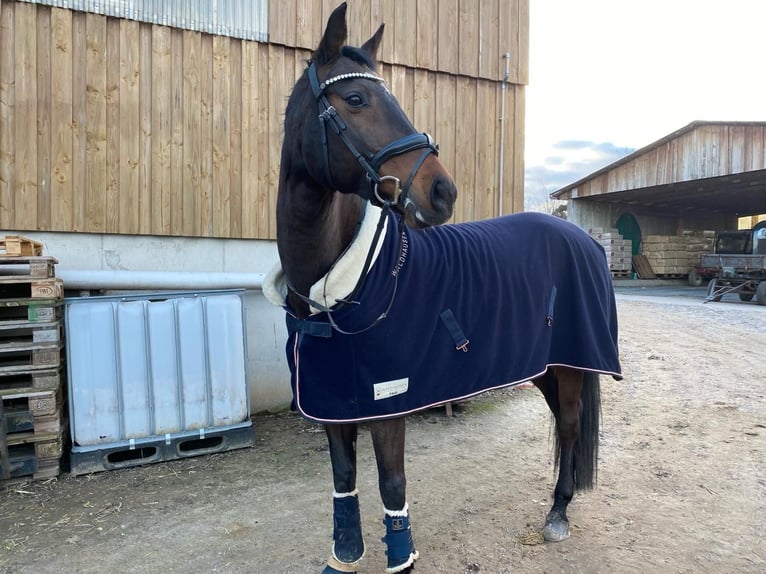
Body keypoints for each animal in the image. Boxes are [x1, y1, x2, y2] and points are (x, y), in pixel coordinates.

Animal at [263, 4, 622, 572]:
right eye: (356, 98)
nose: (442, 190)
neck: (334, 290)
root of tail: (581, 237)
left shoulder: (387, 402)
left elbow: (392, 484)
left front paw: (401, 560)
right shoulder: (334, 403)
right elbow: (344, 478)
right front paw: (345, 555)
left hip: (571, 365)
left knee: (568, 427)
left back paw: (558, 514)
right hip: (544, 366)